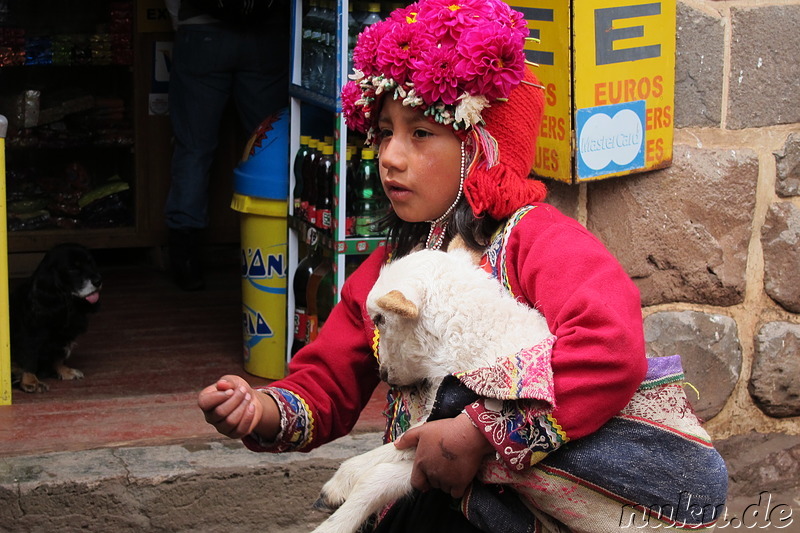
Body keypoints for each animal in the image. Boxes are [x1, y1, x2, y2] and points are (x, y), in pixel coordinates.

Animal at [9, 243, 101, 392]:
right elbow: (29, 360)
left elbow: (58, 357)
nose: (98, 281)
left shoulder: (63, 338)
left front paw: (65, 371)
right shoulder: (28, 338)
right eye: (73, 269)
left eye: (90, 263)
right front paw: (31, 381)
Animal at [312, 247, 556, 532]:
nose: (384, 375)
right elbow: (379, 479)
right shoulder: (451, 463)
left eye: (380, 319)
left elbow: (385, 461)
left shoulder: (445, 434)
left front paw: (341, 487)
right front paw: (337, 501)